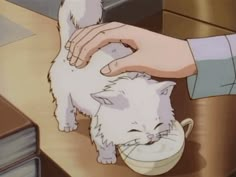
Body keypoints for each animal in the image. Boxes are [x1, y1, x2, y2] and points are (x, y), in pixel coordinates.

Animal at [48, 0, 175, 164]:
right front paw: (107, 159)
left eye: (158, 123)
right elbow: (104, 144)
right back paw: (67, 125)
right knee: (64, 109)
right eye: (134, 129)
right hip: (63, 94)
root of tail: (69, 42)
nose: (152, 138)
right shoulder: (100, 125)